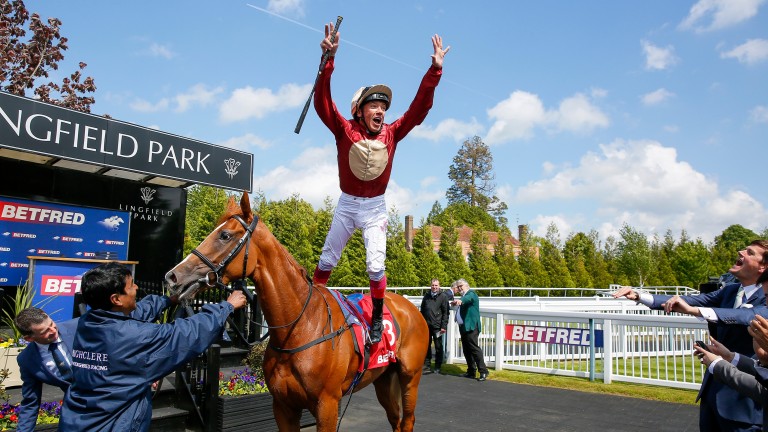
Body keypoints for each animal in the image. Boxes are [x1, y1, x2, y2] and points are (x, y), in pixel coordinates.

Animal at [164, 193, 426, 432]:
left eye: (225, 235)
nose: (173, 276)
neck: (300, 327)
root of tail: (411, 307)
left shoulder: (327, 406)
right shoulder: (283, 406)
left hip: (410, 378)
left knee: (408, 420)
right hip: (383, 379)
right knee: (395, 420)